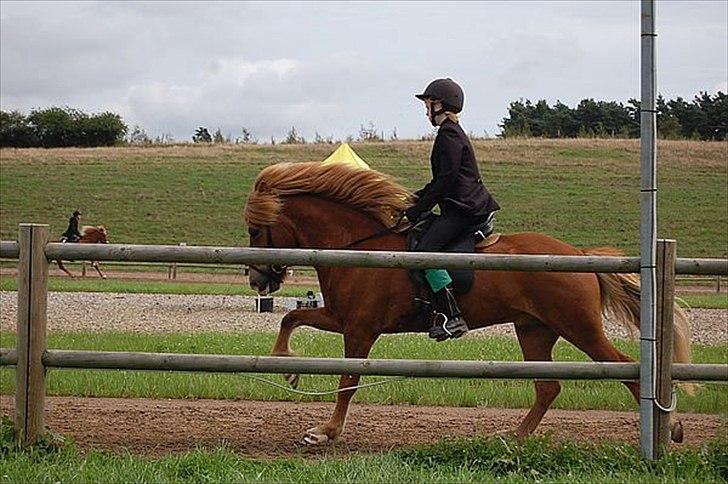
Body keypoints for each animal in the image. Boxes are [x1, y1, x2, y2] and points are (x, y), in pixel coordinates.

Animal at [242, 163, 692, 446]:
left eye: (255, 230)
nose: (256, 280)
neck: (358, 246)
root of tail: (577, 255)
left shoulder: (359, 328)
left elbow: (347, 382)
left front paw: (326, 431)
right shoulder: (342, 318)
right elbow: (291, 317)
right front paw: (287, 367)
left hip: (578, 326)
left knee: (623, 368)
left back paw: (668, 428)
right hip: (534, 330)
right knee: (548, 386)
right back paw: (515, 437)